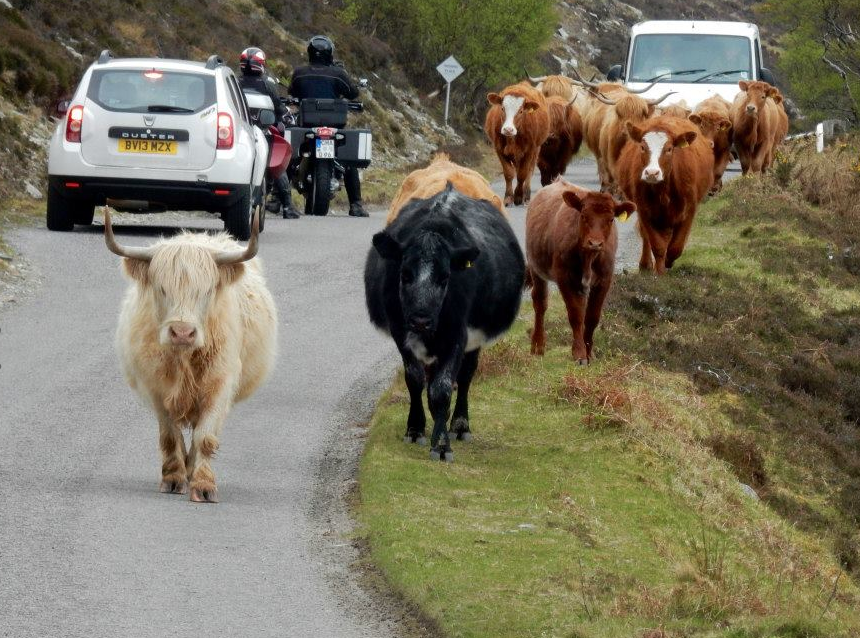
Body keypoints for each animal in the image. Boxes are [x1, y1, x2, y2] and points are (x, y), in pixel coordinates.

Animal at [362, 182, 524, 462]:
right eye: (404, 274)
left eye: (445, 277)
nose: (420, 320)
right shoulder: (399, 332)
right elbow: (415, 380)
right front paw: (415, 429)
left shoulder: (457, 335)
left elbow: (442, 388)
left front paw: (441, 445)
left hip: (473, 341)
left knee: (466, 376)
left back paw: (459, 425)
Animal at [520, 180, 636, 364]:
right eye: (583, 215)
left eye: (611, 219)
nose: (595, 243)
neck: (589, 257)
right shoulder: (565, 278)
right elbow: (575, 315)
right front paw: (580, 353)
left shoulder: (605, 280)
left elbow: (592, 317)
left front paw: (589, 352)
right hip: (535, 267)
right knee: (540, 303)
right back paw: (537, 345)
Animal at [620, 117, 712, 276]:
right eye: (642, 147)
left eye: (669, 149)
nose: (652, 173)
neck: (663, 191)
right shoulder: (644, 210)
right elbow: (658, 246)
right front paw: (660, 272)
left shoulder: (689, 210)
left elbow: (676, 247)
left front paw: (669, 262)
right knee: (647, 237)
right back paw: (646, 265)